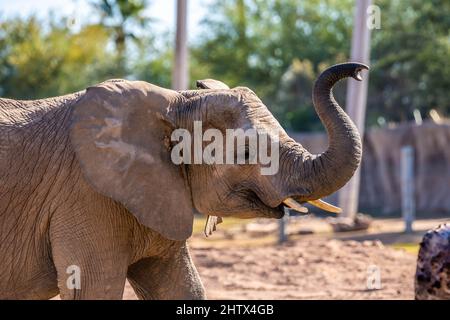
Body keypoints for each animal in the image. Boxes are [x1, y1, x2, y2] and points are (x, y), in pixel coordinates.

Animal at [0, 62, 368, 300]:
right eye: (247, 152)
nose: (359, 71)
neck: (177, 102)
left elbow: (180, 286)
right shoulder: (85, 195)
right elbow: (93, 287)